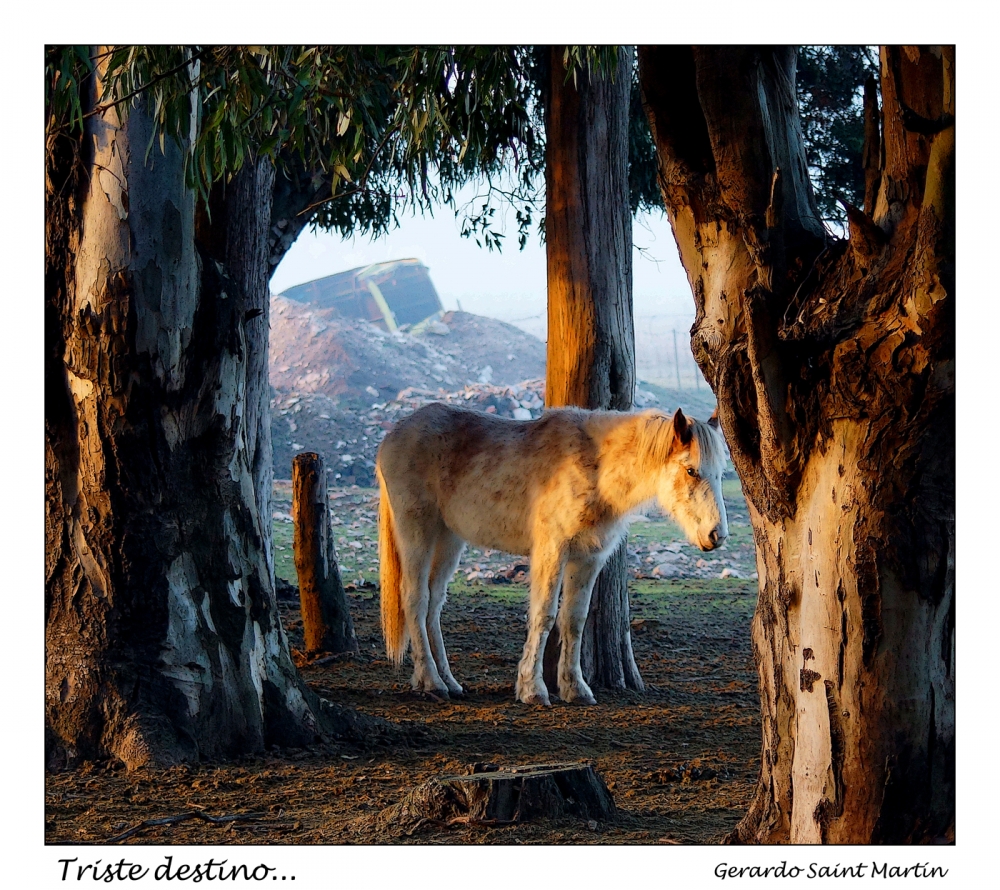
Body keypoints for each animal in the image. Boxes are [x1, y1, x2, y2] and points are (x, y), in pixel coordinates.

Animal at [376, 404, 728, 708]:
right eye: (691, 470)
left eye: (720, 473)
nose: (717, 535)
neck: (595, 467)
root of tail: (393, 437)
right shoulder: (552, 550)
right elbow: (544, 615)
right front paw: (533, 689)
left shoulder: (588, 558)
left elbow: (574, 619)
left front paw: (575, 688)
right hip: (418, 531)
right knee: (415, 598)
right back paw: (431, 681)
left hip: (449, 538)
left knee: (434, 604)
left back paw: (448, 681)